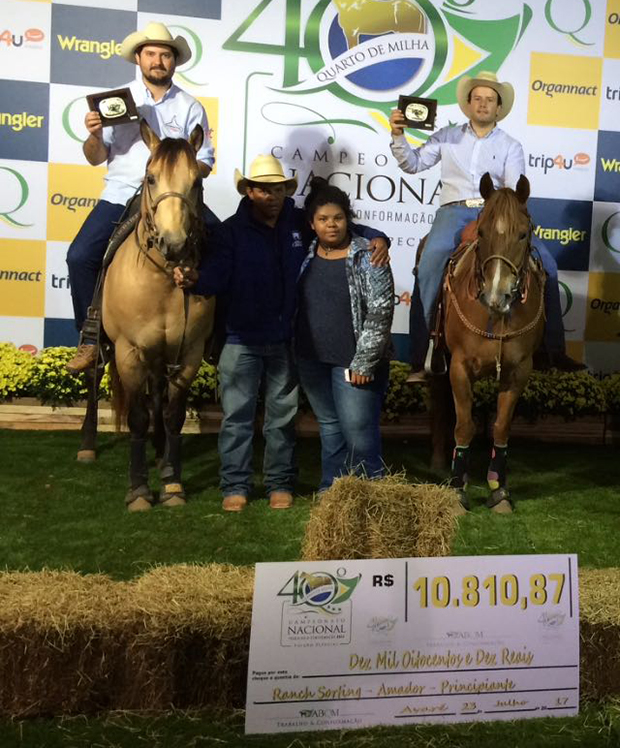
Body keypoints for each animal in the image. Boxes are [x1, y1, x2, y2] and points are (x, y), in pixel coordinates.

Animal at [78, 120, 214, 512]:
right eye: (151, 178)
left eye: (196, 180)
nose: (174, 243)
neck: (163, 279)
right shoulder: (129, 351)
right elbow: (137, 417)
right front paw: (138, 490)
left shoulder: (188, 352)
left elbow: (172, 414)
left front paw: (172, 482)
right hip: (109, 346)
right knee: (95, 378)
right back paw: (88, 445)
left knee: (157, 395)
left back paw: (159, 451)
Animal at [428, 175, 544, 516]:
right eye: (482, 233)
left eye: (523, 233)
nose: (496, 295)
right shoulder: (459, 366)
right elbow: (464, 426)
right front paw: (457, 490)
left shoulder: (519, 371)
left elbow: (501, 427)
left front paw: (499, 490)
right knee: (440, 401)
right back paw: (440, 461)